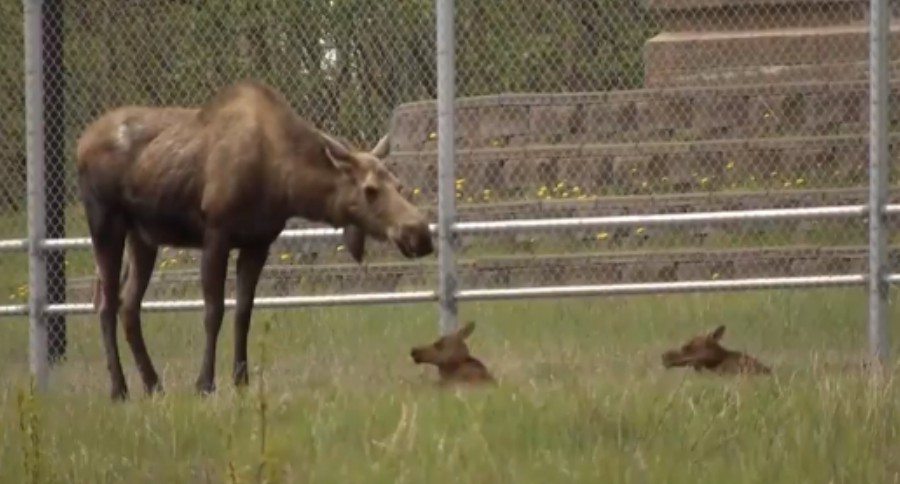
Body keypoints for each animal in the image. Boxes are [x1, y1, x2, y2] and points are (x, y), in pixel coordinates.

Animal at [75, 80, 434, 400]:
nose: (420, 234)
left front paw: (241, 380)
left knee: (128, 305)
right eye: (370, 190)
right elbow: (214, 311)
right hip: (106, 223)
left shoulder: (258, 243)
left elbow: (243, 313)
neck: (286, 184)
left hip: (143, 236)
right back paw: (119, 389)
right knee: (106, 304)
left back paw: (153, 385)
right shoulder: (216, 235)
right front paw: (205, 383)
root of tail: (80, 144)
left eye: (399, 185)